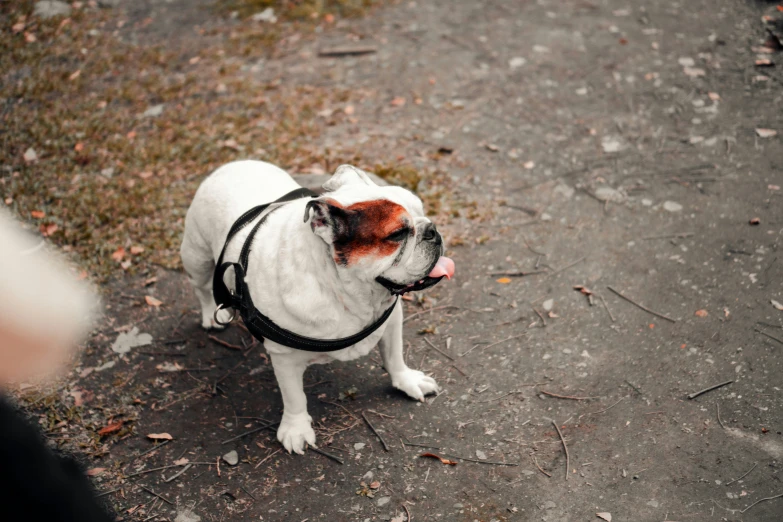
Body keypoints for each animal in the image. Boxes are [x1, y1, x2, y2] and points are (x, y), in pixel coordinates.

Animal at [181, 160, 456, 452]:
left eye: (422, 210)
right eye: (398, 234)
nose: (432, 229)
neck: (349, 291)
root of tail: (234, 164)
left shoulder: (391, 320)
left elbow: (394, 356)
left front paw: (406, 381)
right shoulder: (284, 358)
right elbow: (294, 397)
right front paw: (296, 428)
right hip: (196, 257)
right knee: (203, 288)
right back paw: (213, 314)